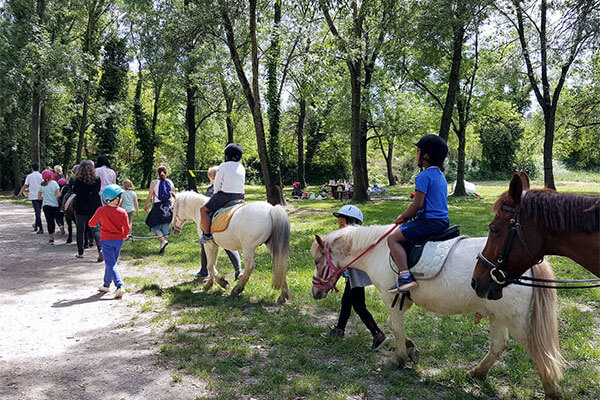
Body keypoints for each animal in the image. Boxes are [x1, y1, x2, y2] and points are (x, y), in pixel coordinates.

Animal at [312, 227, 564, 398]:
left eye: (316, 261)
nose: (315, 292)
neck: (379, 251)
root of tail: (529, 264)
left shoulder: (389, 298)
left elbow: (395, 327)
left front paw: (399, 358)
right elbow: (398, 329)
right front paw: (410, 349)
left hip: (513, 318)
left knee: (537, 350)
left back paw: (551, 389)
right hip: (497, 314)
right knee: (499, 345)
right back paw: (477, 373)